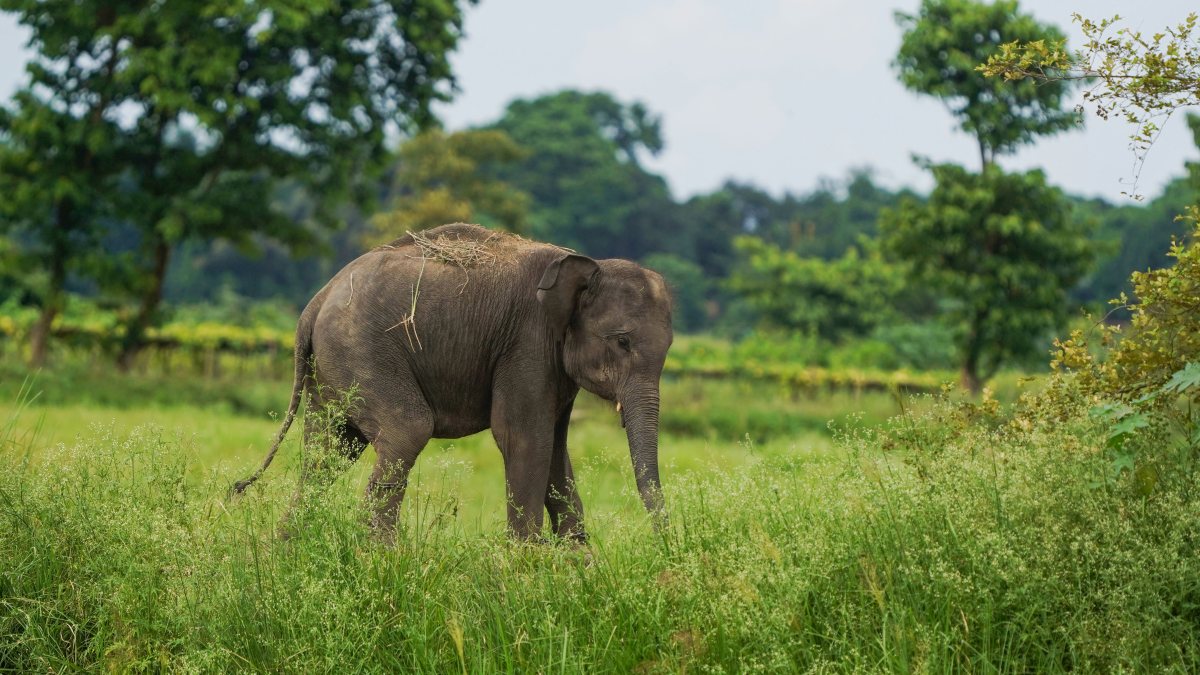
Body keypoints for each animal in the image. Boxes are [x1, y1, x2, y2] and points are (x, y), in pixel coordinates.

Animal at [232, 223, 674, 542]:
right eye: (622, 341)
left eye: (669, 347)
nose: (663, 545)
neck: (581, 263)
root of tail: (315, 303)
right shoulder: (527, 344)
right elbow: (524, 438)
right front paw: (528, 571)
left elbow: (555, 448)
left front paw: (577, 569)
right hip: (359, 350)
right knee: (404, 430)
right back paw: (381, 559)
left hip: (329, 369)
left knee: (328, 451)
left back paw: (288, 550)